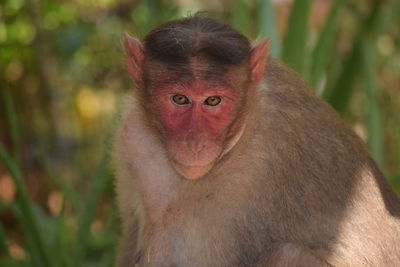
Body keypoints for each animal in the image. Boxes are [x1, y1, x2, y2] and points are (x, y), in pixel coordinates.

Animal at [112, 15, 400, 266]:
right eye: (179, 99)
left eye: (213, 101)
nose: (194, 144)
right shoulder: (131, 136)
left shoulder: (255, 170)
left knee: (287, 254)